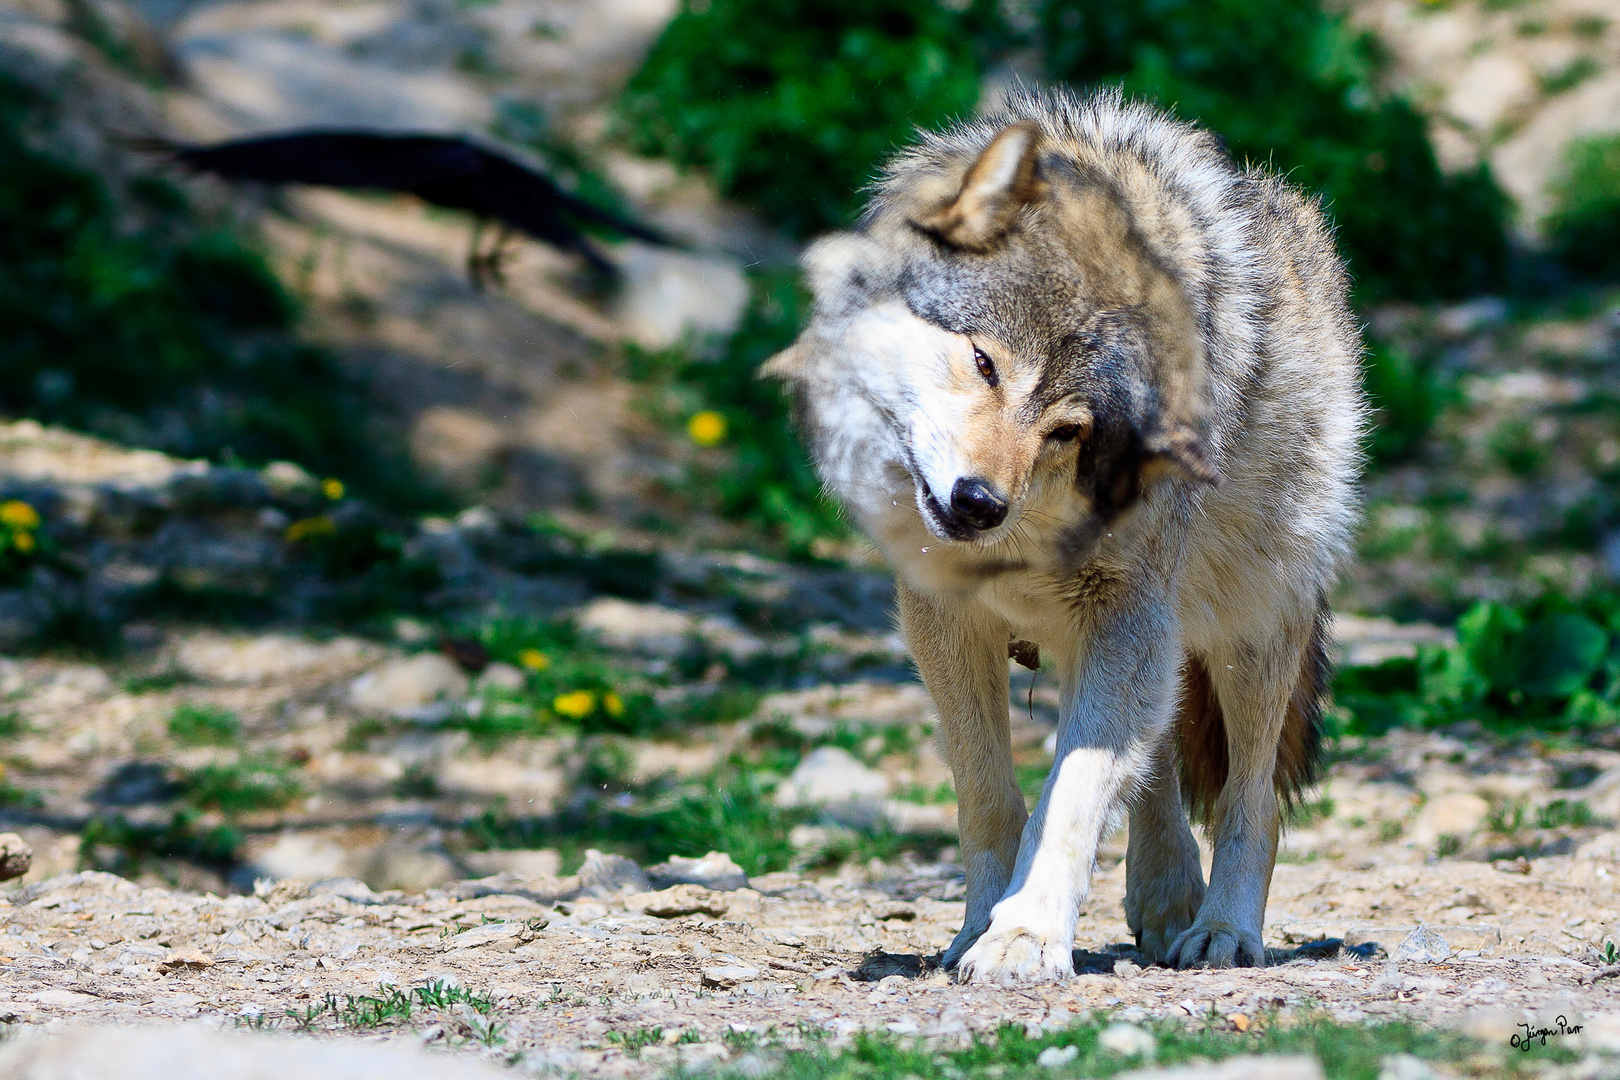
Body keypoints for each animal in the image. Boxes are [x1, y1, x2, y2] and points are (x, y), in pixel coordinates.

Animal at [771, 88, 1367, 984]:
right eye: (984, 363)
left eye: (1068, 429)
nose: (979, 503)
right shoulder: (947, 620)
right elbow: (993, 795)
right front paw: (978, 927)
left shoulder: (1125, 614)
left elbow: (1073, 794)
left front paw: (1023, 934)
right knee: (1155, 755)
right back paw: (1166, 898)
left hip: (1250, 630)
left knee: (1249, 797)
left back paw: (1222, 929)